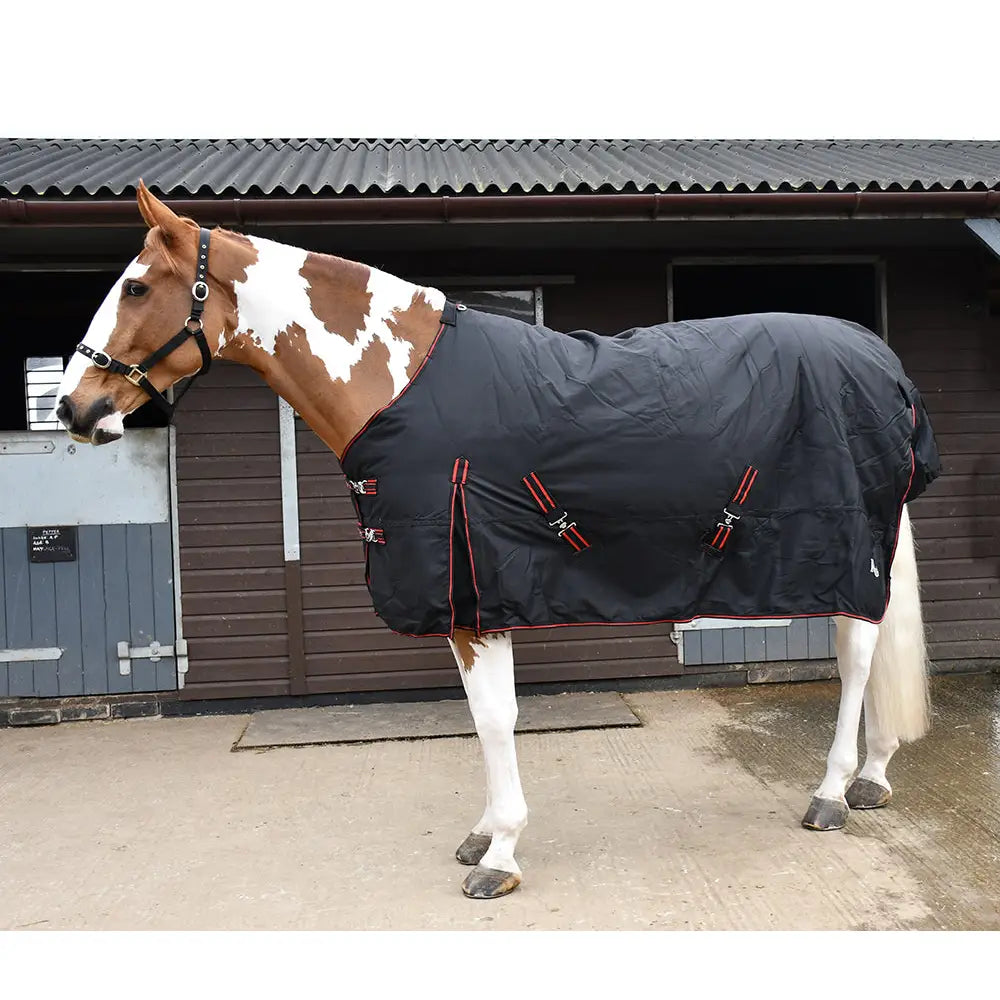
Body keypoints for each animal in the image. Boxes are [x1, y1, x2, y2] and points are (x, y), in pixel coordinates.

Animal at [56, 181, 937, 900]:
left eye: (136, 285)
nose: (72, 408)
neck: (402, 382)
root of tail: (881, 361)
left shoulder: (476, 592)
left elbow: (493, 719)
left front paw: (501, 854)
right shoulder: (465, 597)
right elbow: (484, 718)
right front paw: (485, 834)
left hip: (841, 551)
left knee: (856, 660)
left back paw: (830, 794)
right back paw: (873, 777)